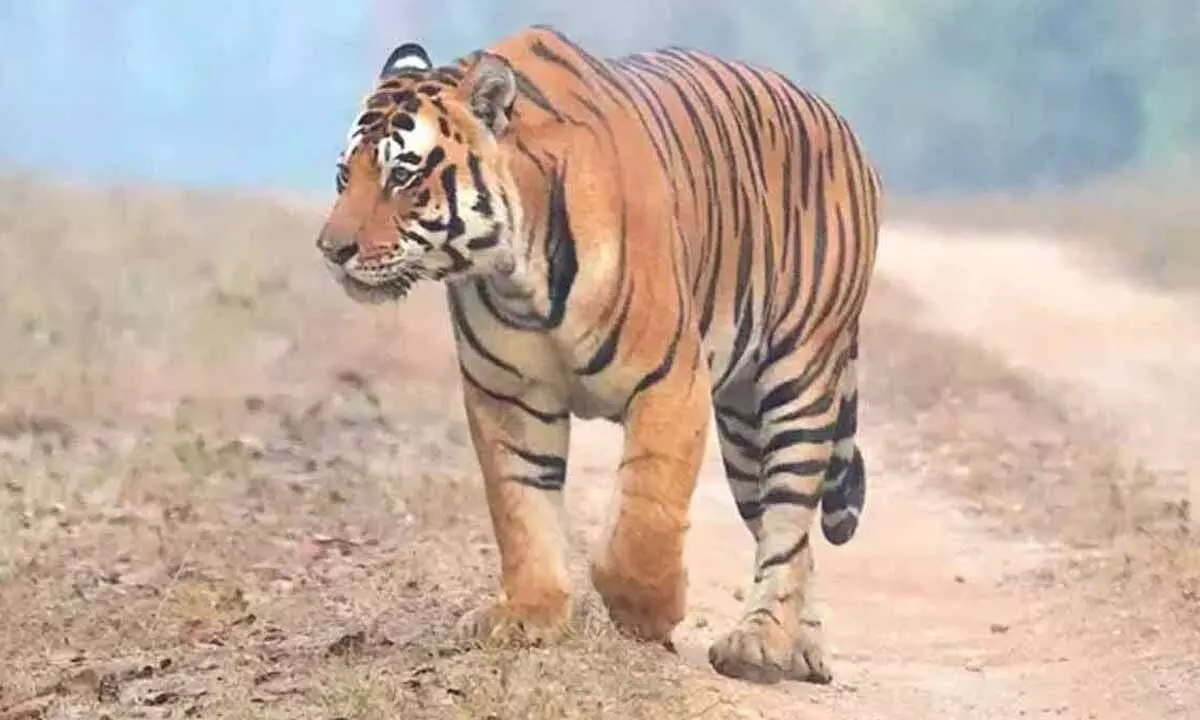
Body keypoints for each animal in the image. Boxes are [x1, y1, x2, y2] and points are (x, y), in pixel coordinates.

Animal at [315, 25, 882, 685]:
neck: (515, 273)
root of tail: (834, 116)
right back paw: (801, 647)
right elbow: (521, 508)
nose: (331, 249)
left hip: (799, 378)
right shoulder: (508, 396)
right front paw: (529, 614)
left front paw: (648, 613)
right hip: (744, 429)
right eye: (342, 177)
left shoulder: (670, 383)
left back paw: (760, 643)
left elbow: (645, 517)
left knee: (790, 517)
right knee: (785, 534)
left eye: (402, 177)